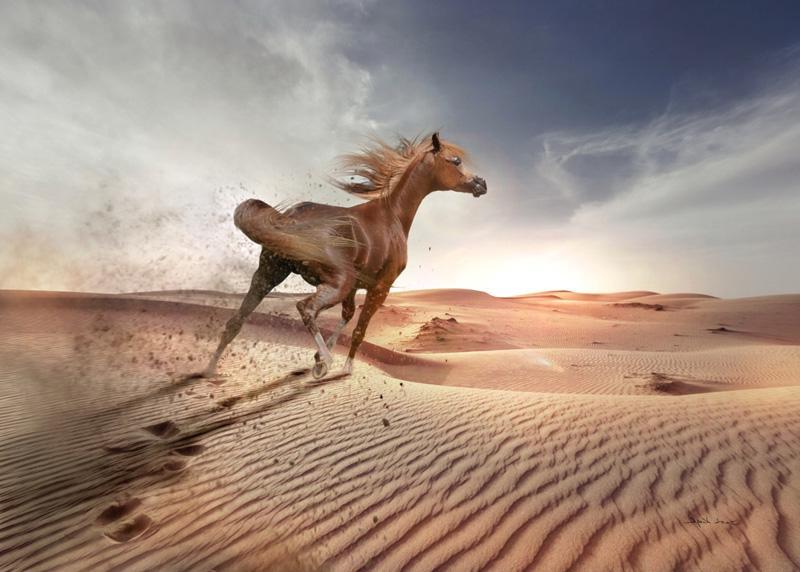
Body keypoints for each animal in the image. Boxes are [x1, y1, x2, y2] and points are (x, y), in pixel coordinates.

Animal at [201, 132, 487, 379]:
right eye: (456, 160)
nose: (481, 184)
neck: (392, 215)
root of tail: (290, 217)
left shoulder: (355, 287)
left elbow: (347, 316)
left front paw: (318, 357)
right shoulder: (379, 287)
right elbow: (360, 329)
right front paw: (341, 366)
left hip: (269, 274)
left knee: (237, 320)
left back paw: (209, 370)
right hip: (335, 283)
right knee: (305, 309)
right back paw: (326, 363)